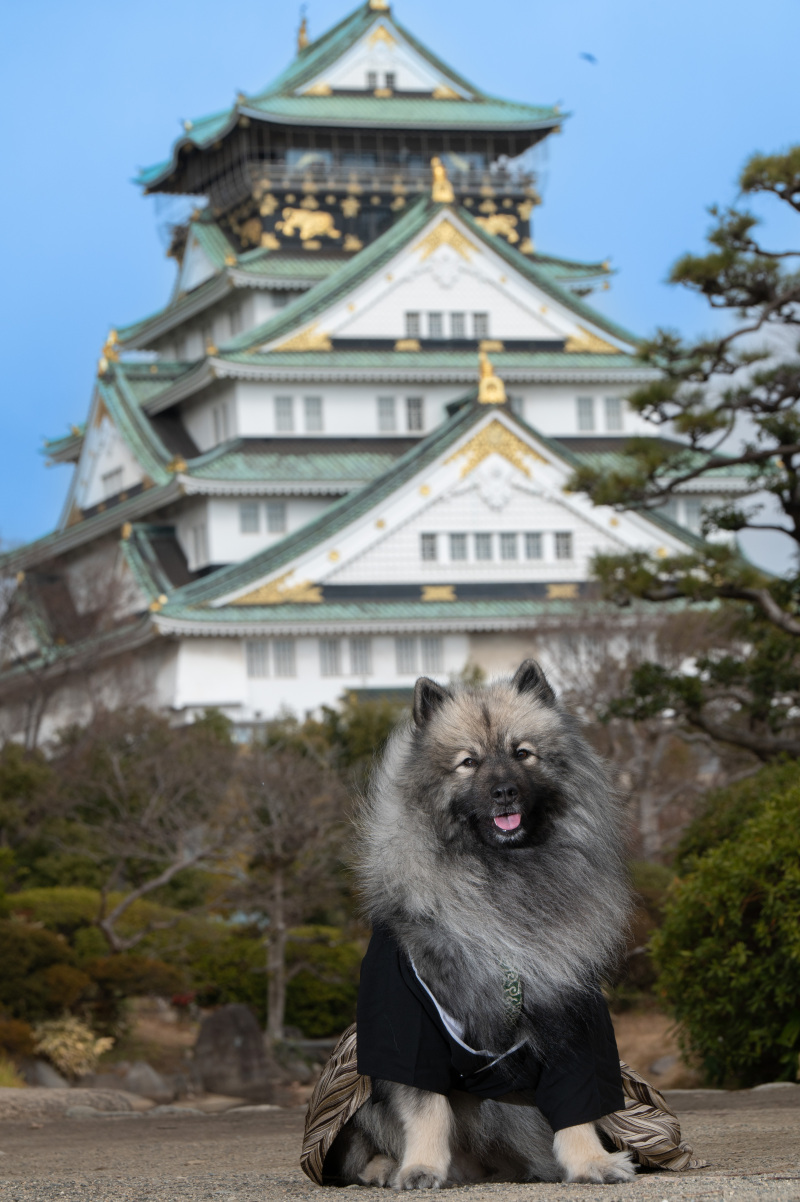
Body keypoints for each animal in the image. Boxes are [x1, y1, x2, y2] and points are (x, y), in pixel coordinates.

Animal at [326, 663, 634, 1187]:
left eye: (522, 754)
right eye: (468, 762)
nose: (504, 791)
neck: (501, 878)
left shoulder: (569, 1014)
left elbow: (577, 1104)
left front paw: (591, 1162)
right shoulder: (409, 1022)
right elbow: (426, 1106)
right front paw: (422, 1168)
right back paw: (386, 1167)